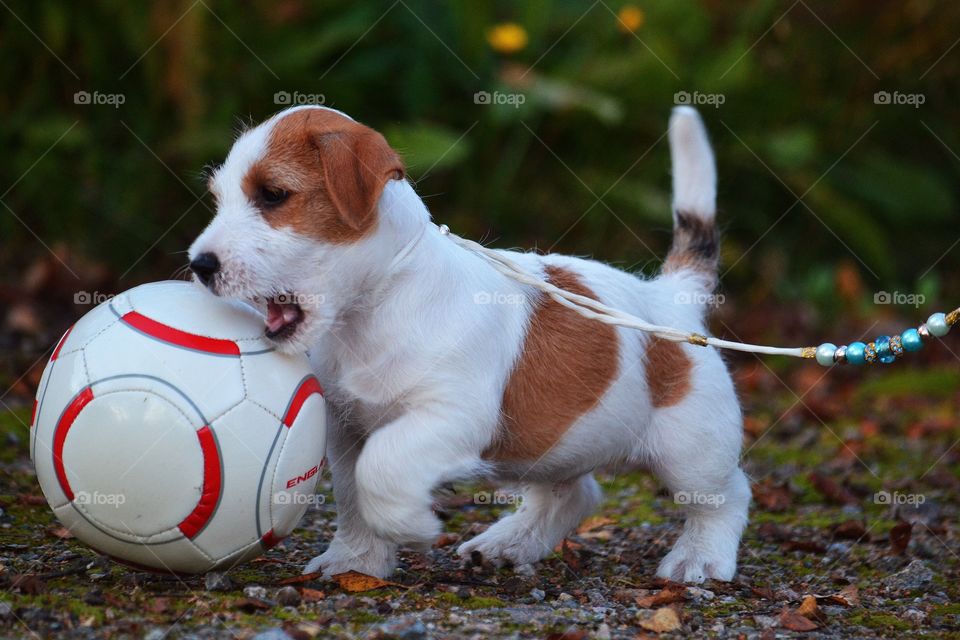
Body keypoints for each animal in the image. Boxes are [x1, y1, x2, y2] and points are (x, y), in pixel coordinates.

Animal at [188, 102, 752, 584]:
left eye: (273, 195)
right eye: (219, 199)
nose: (199, 265)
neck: (374, 309)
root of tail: (672, 295)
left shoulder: (448, 416)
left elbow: (382, 468)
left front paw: (412, 526)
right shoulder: (347, 430)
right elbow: (353, 494)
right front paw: (356, 560)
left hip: (691, 449)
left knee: (727, 496)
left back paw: (700, 559)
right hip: (560, 446)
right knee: (573, 494)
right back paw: (509, 543)